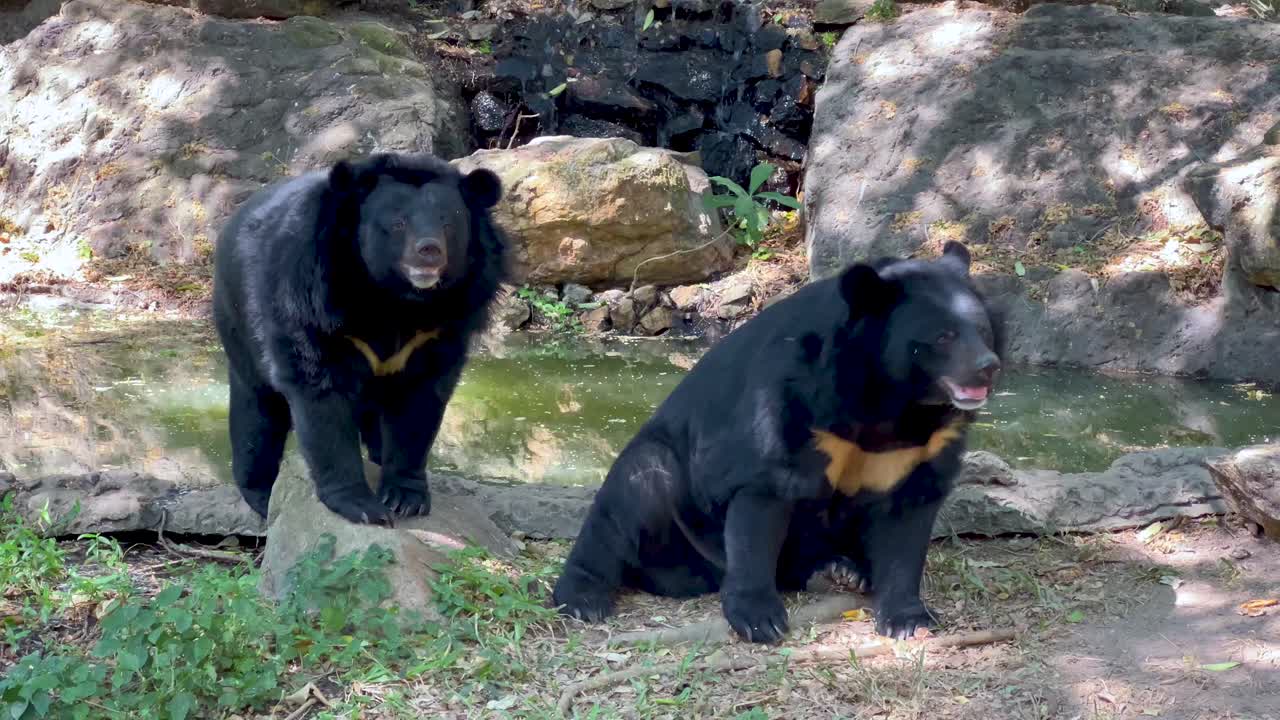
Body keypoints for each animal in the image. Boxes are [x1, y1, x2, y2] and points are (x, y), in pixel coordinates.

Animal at [212, 152, 505, 526]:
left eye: (448, 223)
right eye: (398, 224)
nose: (429, 251)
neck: (397, 300)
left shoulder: (447, 322)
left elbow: (420, 402)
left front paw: (404, 497)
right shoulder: (310, 302)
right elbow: (321, 396)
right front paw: (363, 506)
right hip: (238, 319)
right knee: (258, 412)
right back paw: (261, 494)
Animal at [551, 241, 1003, 642]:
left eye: (982, 331)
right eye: (943, 336)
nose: (988, 367)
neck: (894, 400)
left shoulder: (927, 443)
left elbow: (910, 514)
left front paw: (908, 619)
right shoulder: (789, 397)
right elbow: (765, 494)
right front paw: (759, 619)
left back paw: (840, 570)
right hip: (667, 485)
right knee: (630, 497)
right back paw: (582, 598)